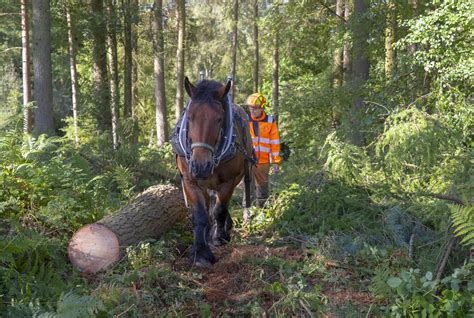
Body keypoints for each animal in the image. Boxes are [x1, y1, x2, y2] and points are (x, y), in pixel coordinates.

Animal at [173, 77, 254, 268]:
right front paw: (200, 252)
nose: (200, 165)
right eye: (190, 117)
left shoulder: (228, 181)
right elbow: (200, 215)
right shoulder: (190, 181)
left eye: (219, 119)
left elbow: (220, 210)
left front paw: (219, 237)